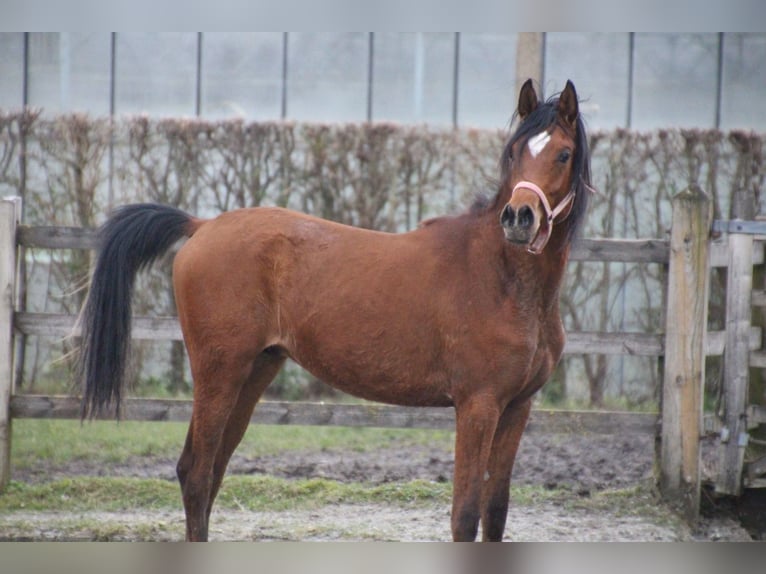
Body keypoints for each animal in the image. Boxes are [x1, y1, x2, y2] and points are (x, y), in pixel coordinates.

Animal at [78, 79, 592, 544]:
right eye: (515, 152)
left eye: (563, 154)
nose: (519, 218)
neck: (503, 279)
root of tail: (202, 225)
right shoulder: (477, 405)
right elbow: (465, 516)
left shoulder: (517, 408)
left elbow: (495, 512)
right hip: (219, 373)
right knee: (196, 472)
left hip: (253, 373)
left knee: (211, 473)